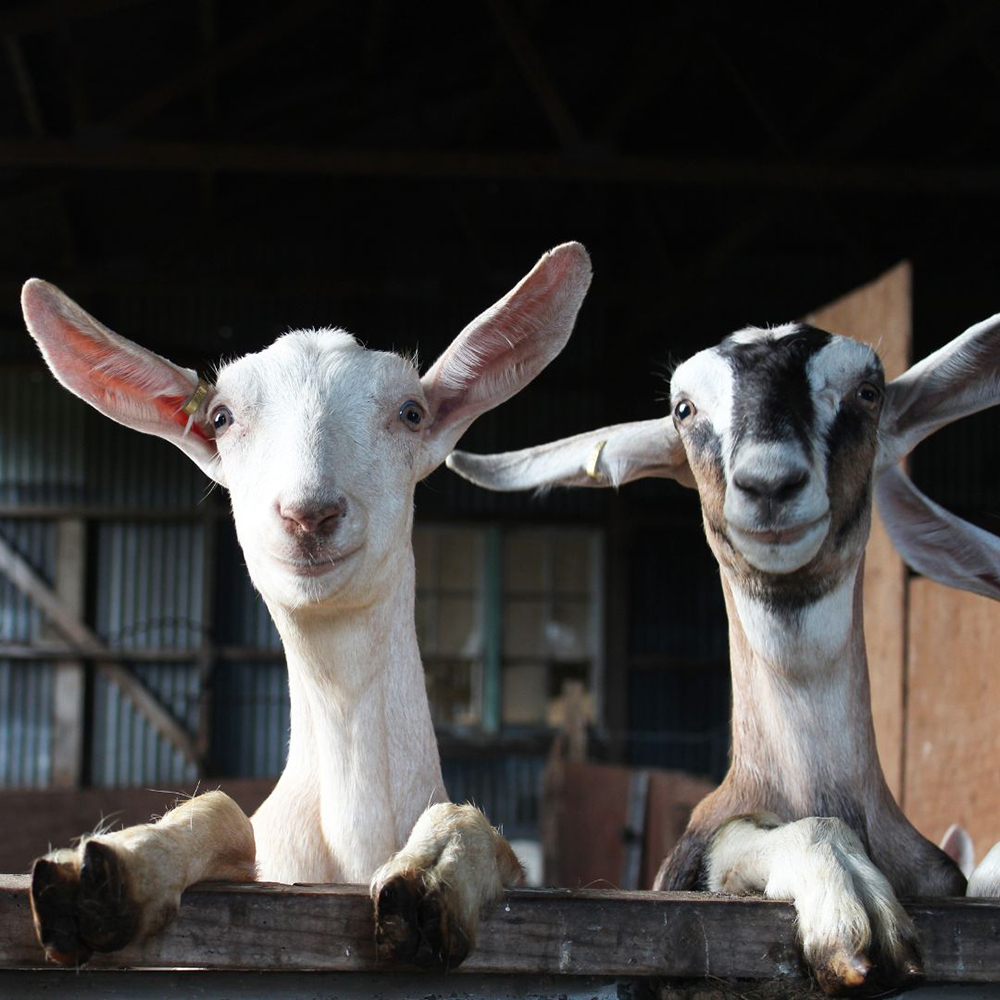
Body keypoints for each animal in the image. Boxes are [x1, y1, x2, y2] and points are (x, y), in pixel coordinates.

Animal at [21, 238, 592, 964]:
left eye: (410, 412)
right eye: (220, 417)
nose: (308, 513)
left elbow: (482, 832)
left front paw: (433, 878)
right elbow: (223, 812)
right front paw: (108, 871)